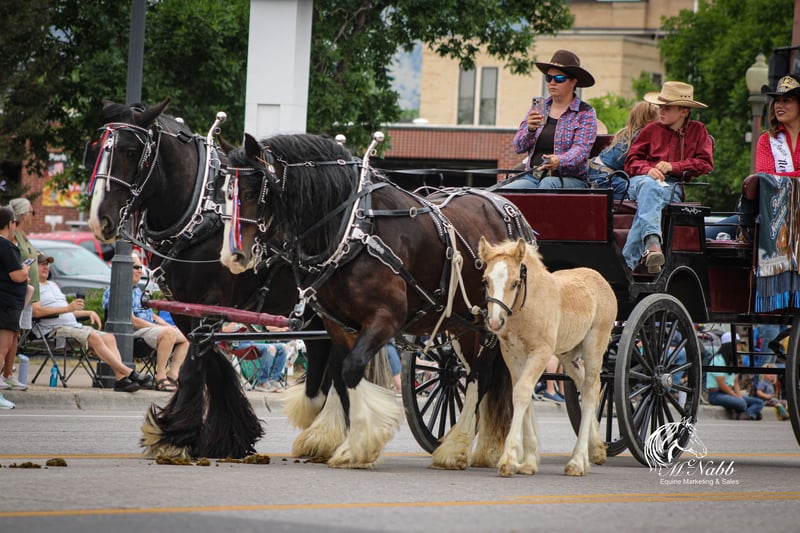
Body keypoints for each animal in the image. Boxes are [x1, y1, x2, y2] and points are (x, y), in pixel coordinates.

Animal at [85, 99, 334, 460]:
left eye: (131, 151)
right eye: (94, 150)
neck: (202, 215)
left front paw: (172, 434)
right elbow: (212, 367)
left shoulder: (211, 306)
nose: (99, 219)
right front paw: (228, 435)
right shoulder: (186, 310)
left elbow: (193, 370)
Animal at [219, 132, 535, 469]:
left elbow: (351, 369)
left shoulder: (386, 318)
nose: (232, 255)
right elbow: (343, 376)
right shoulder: (339, 324)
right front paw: (348, 441)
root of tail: (509, 209)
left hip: (491, 322)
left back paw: (457, 447)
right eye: (225, 192)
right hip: (463, 324)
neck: (354, 229)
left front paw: (357, 445)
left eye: (251, 190)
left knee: (480, 376)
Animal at [478, 237, 614, 476]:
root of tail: (601, 279)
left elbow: (522, 392)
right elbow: (520, 393)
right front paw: (528, 461)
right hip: (567, 355)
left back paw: (577, 461)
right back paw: (595, 448)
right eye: (486, 280)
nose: (494, 322)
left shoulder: (541, 352)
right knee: (585, 386)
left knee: (590, 392)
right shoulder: (512, 355)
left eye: (515, 282)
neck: (526, 307)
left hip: (594, 348)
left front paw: (509, 458)